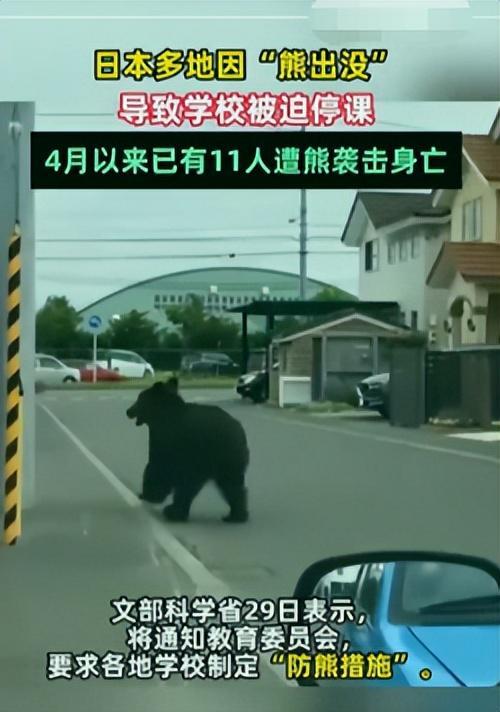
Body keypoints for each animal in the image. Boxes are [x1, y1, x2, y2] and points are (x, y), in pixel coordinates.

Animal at [126, 377, 249, 523]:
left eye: (139, 399)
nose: (128, 411)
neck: (162, 416)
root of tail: (239, 430)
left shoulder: (169, 440)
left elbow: (159, 467)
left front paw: (149, 494)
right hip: (226, 459)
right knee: (231, 483)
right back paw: (235, 515)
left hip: (211, 455)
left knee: (196, 484)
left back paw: (174, 511)